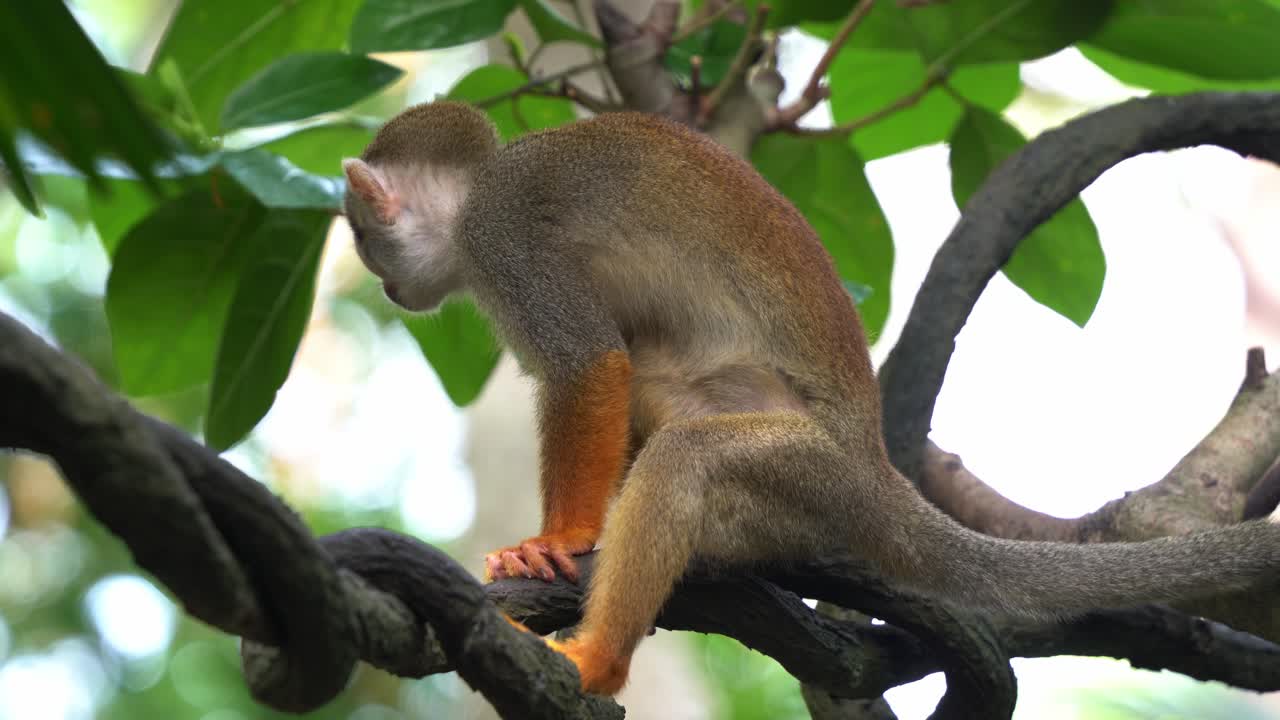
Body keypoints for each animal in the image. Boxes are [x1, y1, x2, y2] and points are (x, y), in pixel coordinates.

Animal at [342, 100, 1280, 696]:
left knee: (692, 454)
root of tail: (877, 474)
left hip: (806, 474)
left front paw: (560, 538)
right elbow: (613, 363)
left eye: (363, 236)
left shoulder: (502, 239)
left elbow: (590, 365)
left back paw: (598, 659)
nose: (387, 290)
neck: (480, 190)